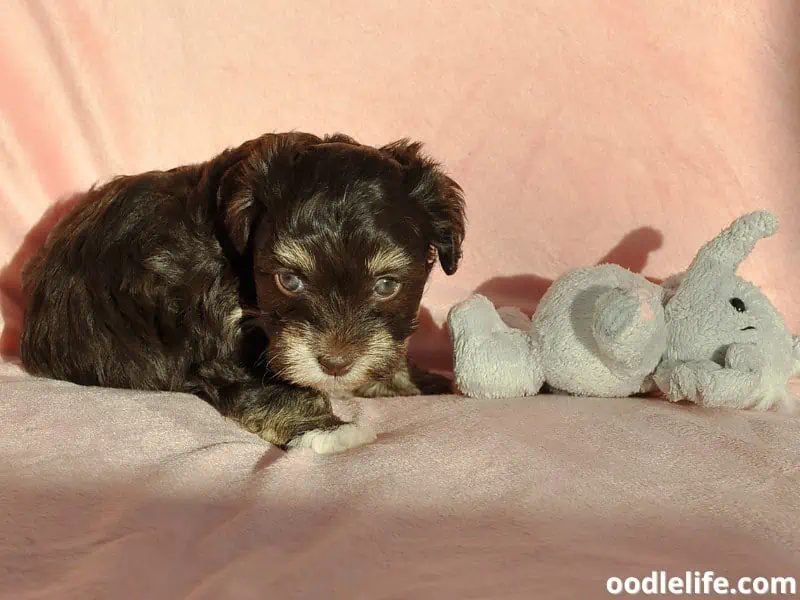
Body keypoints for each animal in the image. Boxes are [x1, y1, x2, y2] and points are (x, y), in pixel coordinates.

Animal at [18, 134, 466, 454]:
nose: (335, 364)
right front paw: (327, 432)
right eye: (289, 281)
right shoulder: (219, 342)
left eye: (387, 286)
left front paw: (420, 380)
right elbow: (270, 386)